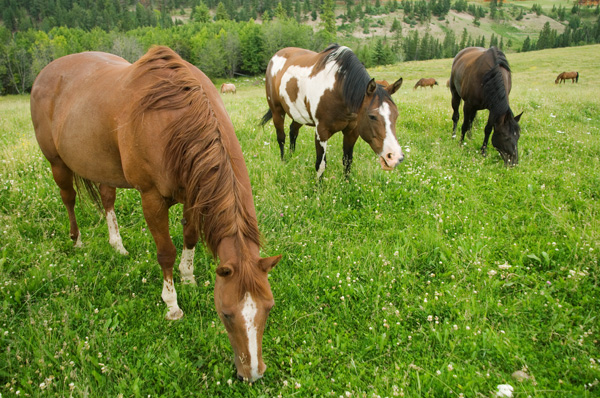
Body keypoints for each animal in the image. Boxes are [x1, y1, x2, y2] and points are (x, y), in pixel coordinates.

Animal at [32, 46, 284, 382]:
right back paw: (76, 240)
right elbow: (166, 253)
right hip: (57, 162)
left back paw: (117, 245)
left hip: (103, 166)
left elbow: (190, 236)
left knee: (107, 199)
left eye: (269, 307)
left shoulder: (193, 193)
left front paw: (188, 278)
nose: (253, 373)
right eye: (226, 314)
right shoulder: (151, 198)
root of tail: (46, 72)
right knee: (68, 198)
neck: (174, 120)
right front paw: (172, 304)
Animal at [258, 44, 404, 176]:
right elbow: (321, 165)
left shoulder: (352, 132)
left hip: (298, 115)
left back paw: (292, 157)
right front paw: (318, 188)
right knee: (281, 137)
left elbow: (347, 162)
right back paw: (284, 161)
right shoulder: (321, 132)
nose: (394, 157)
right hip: (277, 111)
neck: (337, 89)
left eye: (396, 115)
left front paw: (347, 184)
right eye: (372, 116)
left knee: (293, 132)